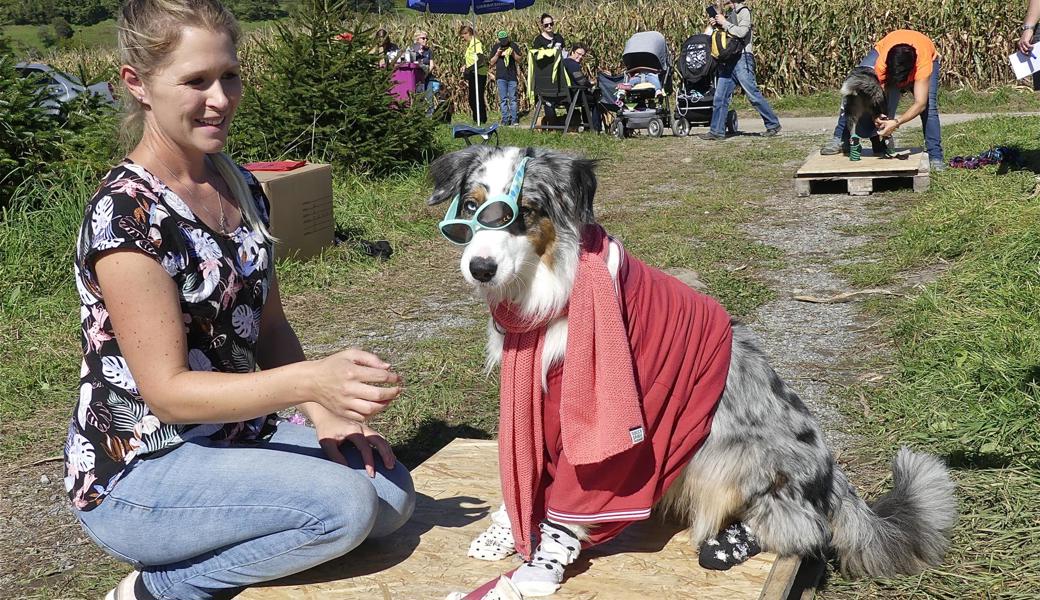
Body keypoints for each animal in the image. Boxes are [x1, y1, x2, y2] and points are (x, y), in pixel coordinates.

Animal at [426, 143, 952, 594]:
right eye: (470, 207)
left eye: (526, 211)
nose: (480, 268)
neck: (551, 290)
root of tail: (832, 479)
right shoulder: (543, 408)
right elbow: (524, 475)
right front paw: (502, 533)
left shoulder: (601, 432)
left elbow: (571, 504)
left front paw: (538, 571)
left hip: (727, 456)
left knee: (801, 529)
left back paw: (727, 545)